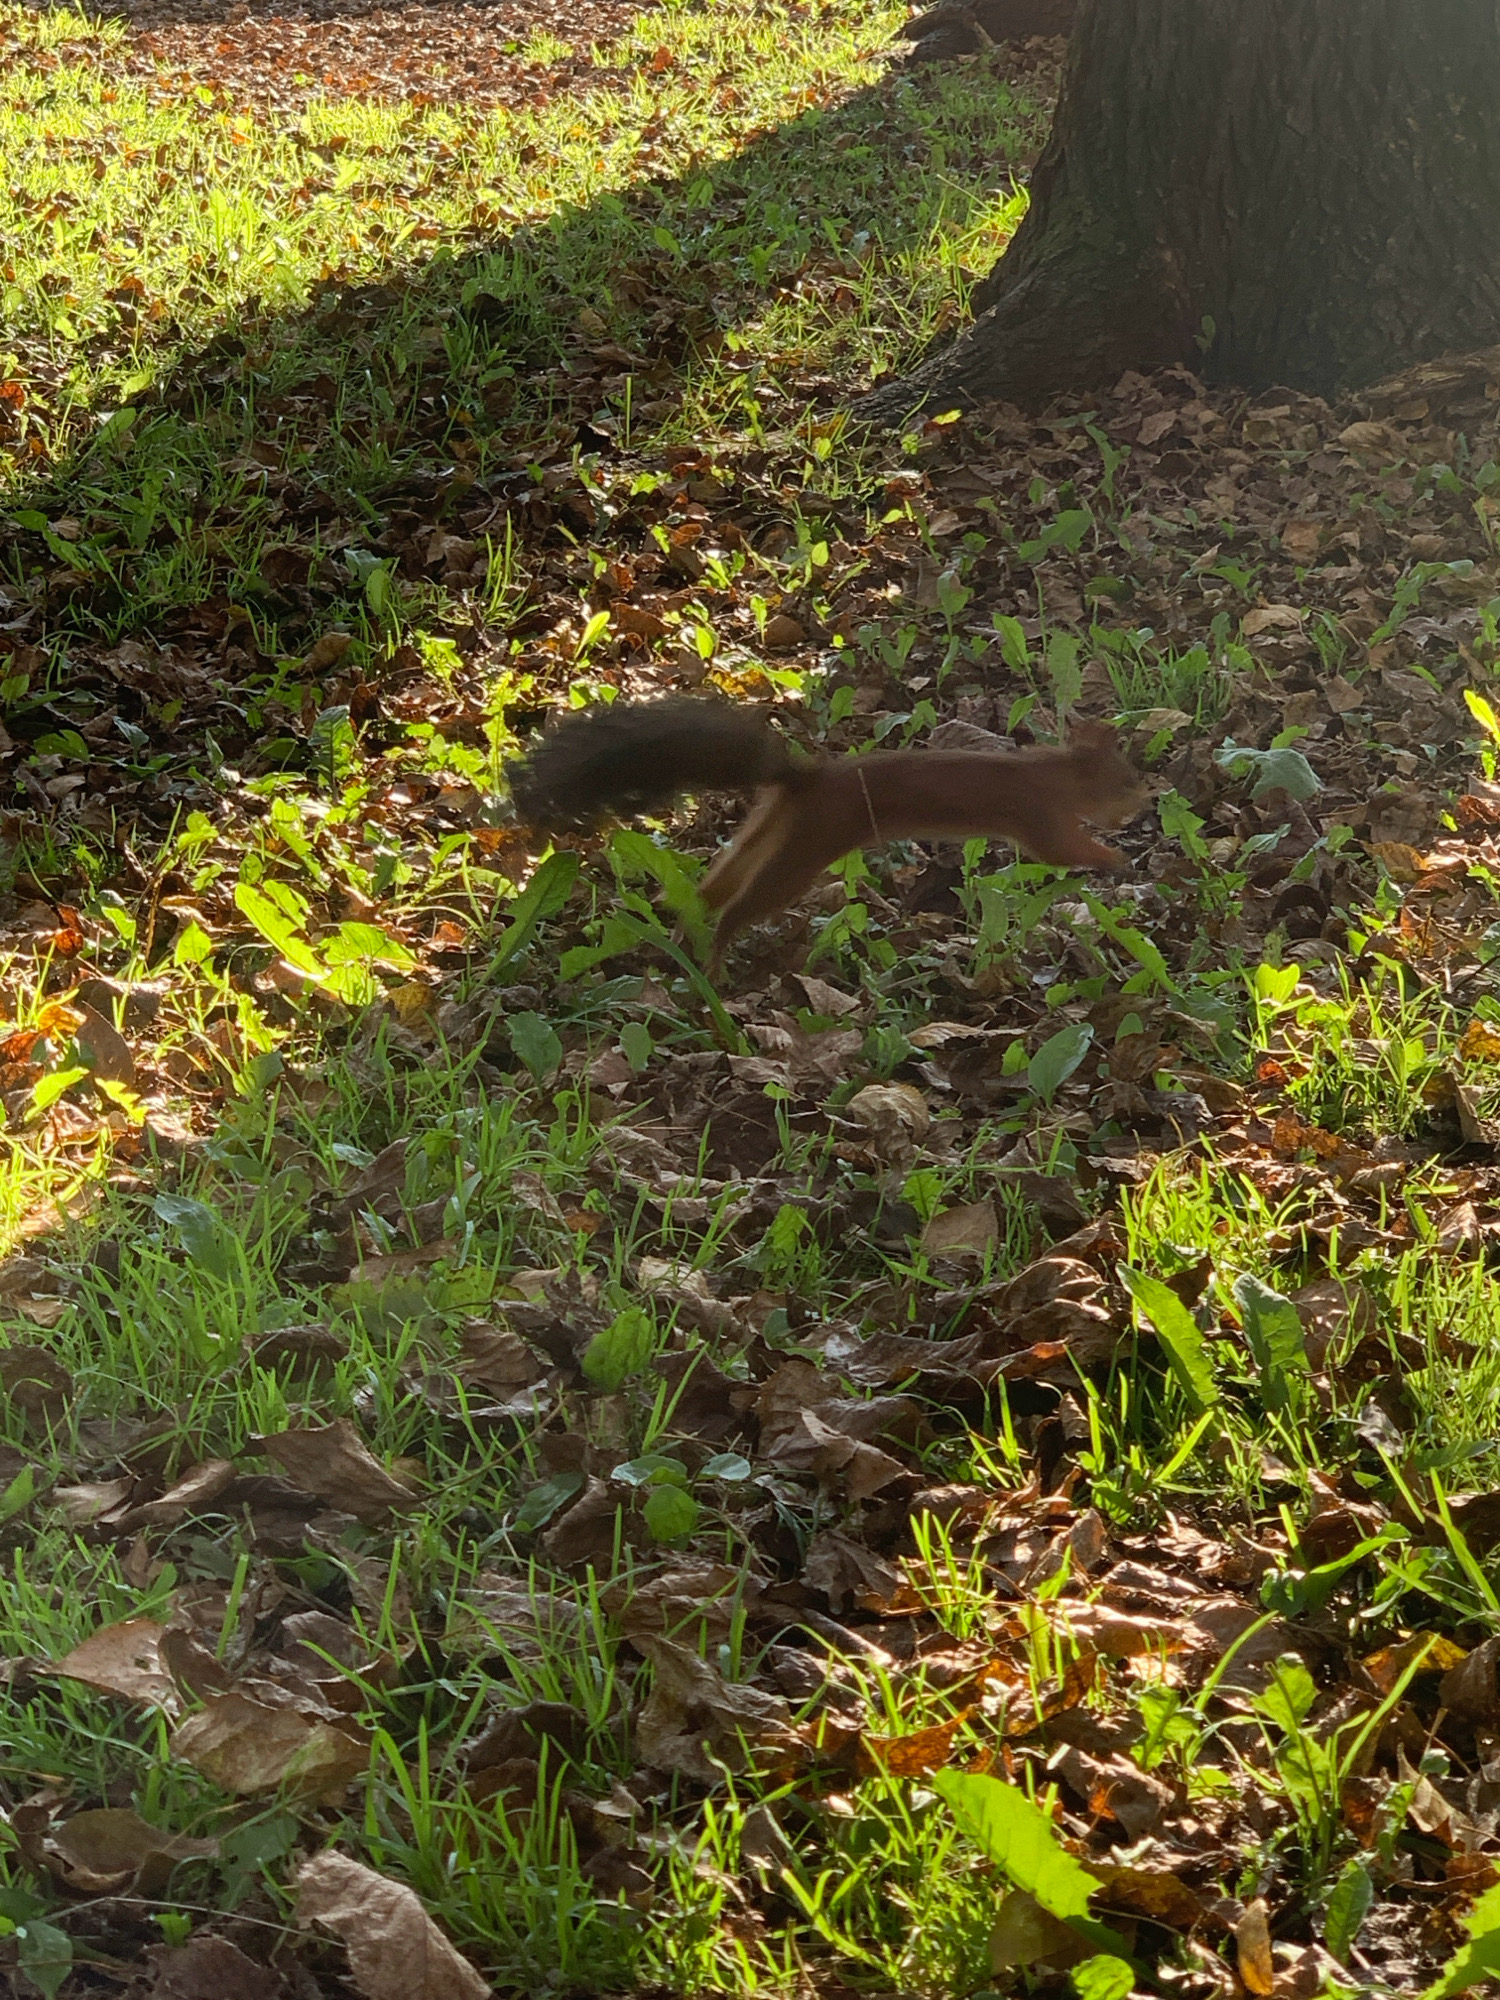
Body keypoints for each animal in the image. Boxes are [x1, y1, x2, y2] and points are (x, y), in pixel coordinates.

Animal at [509, 697, 1145, 971]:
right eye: (1126, 780)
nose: (1140, 808)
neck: (1056, 775)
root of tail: (807, 779)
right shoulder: (1037, 819)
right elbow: (1061, 850)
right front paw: (1114, 859)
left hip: (769, 830)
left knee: (713, 888)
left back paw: (682, 930)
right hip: (808, 846)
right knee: (737, 909)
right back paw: (712, 962)